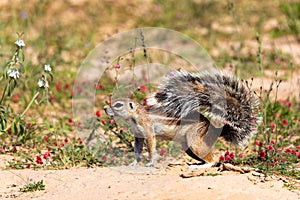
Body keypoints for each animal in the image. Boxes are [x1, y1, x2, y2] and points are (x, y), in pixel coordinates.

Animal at [103, 69, 260, 167]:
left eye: (118, 105)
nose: (105, 108)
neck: (137, 116)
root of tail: (216, 127)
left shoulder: (148, 131)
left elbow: (151, 147)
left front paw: (151, 162)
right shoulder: (138, 136)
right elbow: (137, 149)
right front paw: (135, 162)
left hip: (194, 138)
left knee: (212, 160)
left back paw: (199, 166)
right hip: (188, 146)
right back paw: (197, 163)